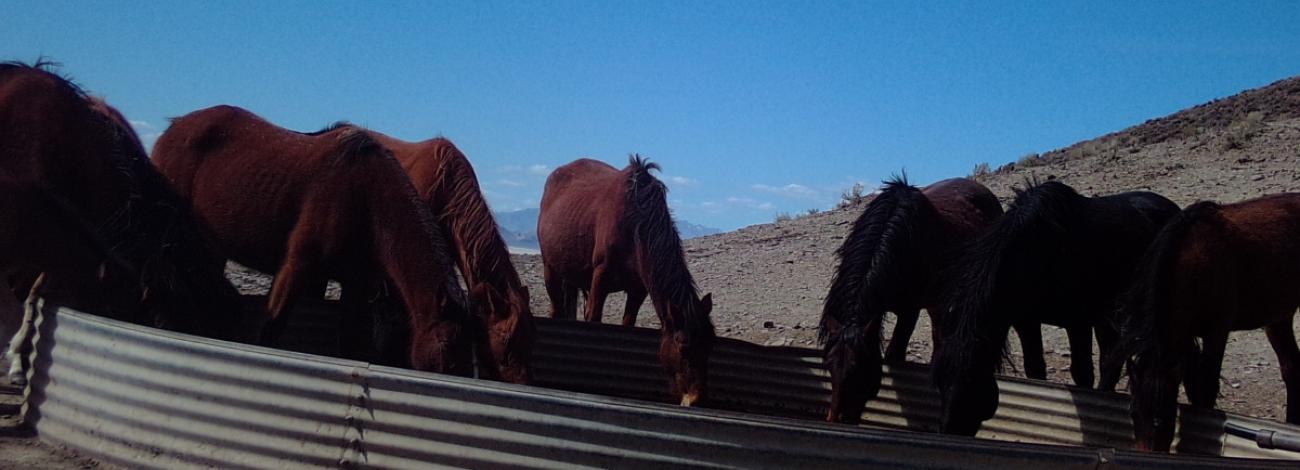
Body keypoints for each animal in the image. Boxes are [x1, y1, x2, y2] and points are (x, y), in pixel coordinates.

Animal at [152, 106, 478, 376]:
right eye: (448, 347)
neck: (368, 201)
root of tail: (173, 128)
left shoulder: (355, 284)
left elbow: (349, 342)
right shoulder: (297, 267)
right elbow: (271, 329)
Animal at [538, 156, 715, 406]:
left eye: (710, 346)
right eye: (682, 345)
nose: (697, 399)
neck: (636, 226)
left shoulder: (638, 290)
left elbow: (627, 324)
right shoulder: (600, 279)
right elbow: (594, 319)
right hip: (550, 269)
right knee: (555, 308)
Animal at [932, 180, 1179, 436]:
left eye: (972, 382)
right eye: (938, 382)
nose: (949, 431)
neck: (1041, 253)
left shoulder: (1078, 322)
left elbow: (1083, 374)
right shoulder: (1026, 322)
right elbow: (1035, 370)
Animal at [1120, 193, 1300, 452]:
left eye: (1162, 417)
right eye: (1133, 413)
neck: (1192, 260)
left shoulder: (1216, 332)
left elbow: (1206, 388)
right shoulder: (1183, 336)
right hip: (1278, 318)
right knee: (1292, 367)